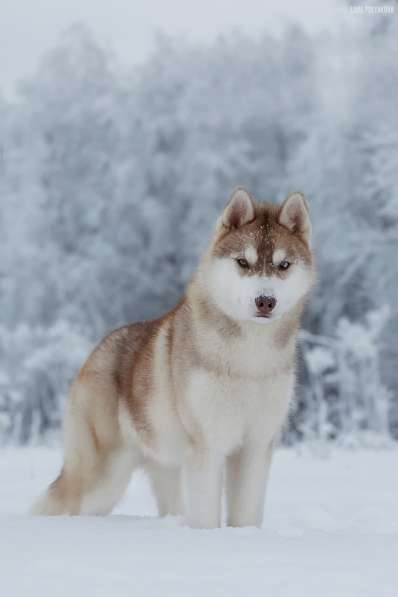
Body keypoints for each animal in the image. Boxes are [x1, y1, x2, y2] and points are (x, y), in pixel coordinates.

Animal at [31, 189, 314, 528]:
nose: (265, 300)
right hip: (101, 480)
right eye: (243, 262)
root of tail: (96, 350)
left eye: (283, 265)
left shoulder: (256, 446)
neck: (249, 360)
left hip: (164, 469)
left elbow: (246, 513)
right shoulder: (207, 445)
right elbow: (205, 516)